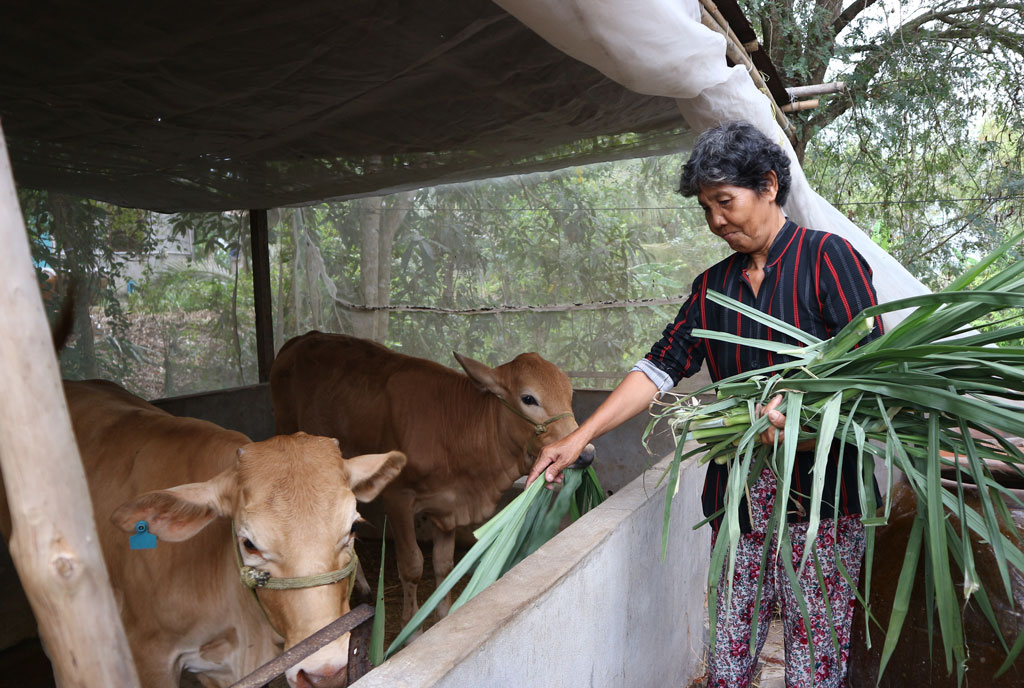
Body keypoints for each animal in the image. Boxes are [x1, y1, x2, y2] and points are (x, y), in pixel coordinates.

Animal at [268, 331, 598, 622]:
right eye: (529, 398)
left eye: (569, 394)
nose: (585, 454)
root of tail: (302, 339)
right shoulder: (398, 499)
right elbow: (412, 565)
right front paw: (410, 627)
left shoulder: (448, 506)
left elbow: (443, 565)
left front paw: (440, 617)